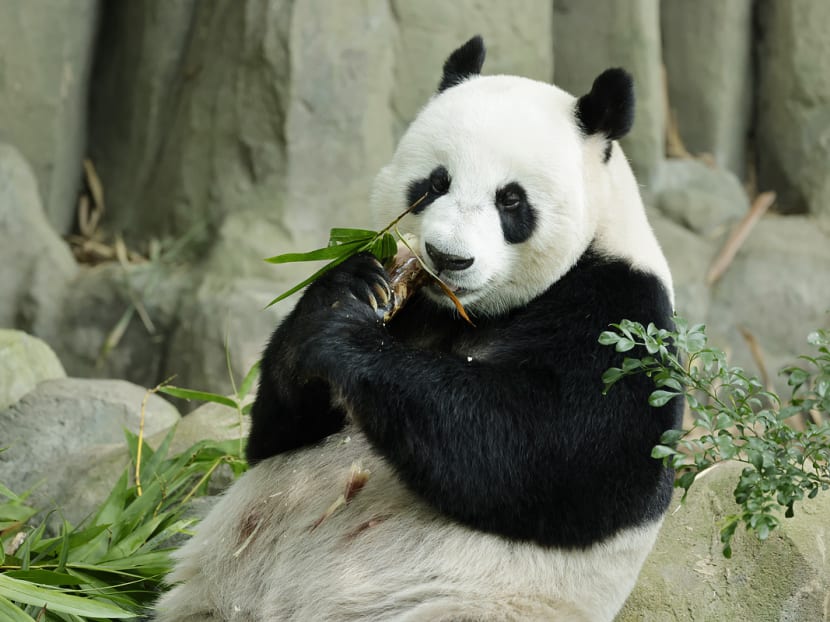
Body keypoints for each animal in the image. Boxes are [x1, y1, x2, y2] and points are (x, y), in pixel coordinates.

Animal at [154, 36, 681, 622]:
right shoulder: (415, 305)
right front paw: (346, 291)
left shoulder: (620, 315)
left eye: (511, 199)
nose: (448, 258)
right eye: (435, 183)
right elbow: (274, 435)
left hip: (463, 605)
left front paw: (347, 339)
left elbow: (547, 445)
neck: (471, 311)